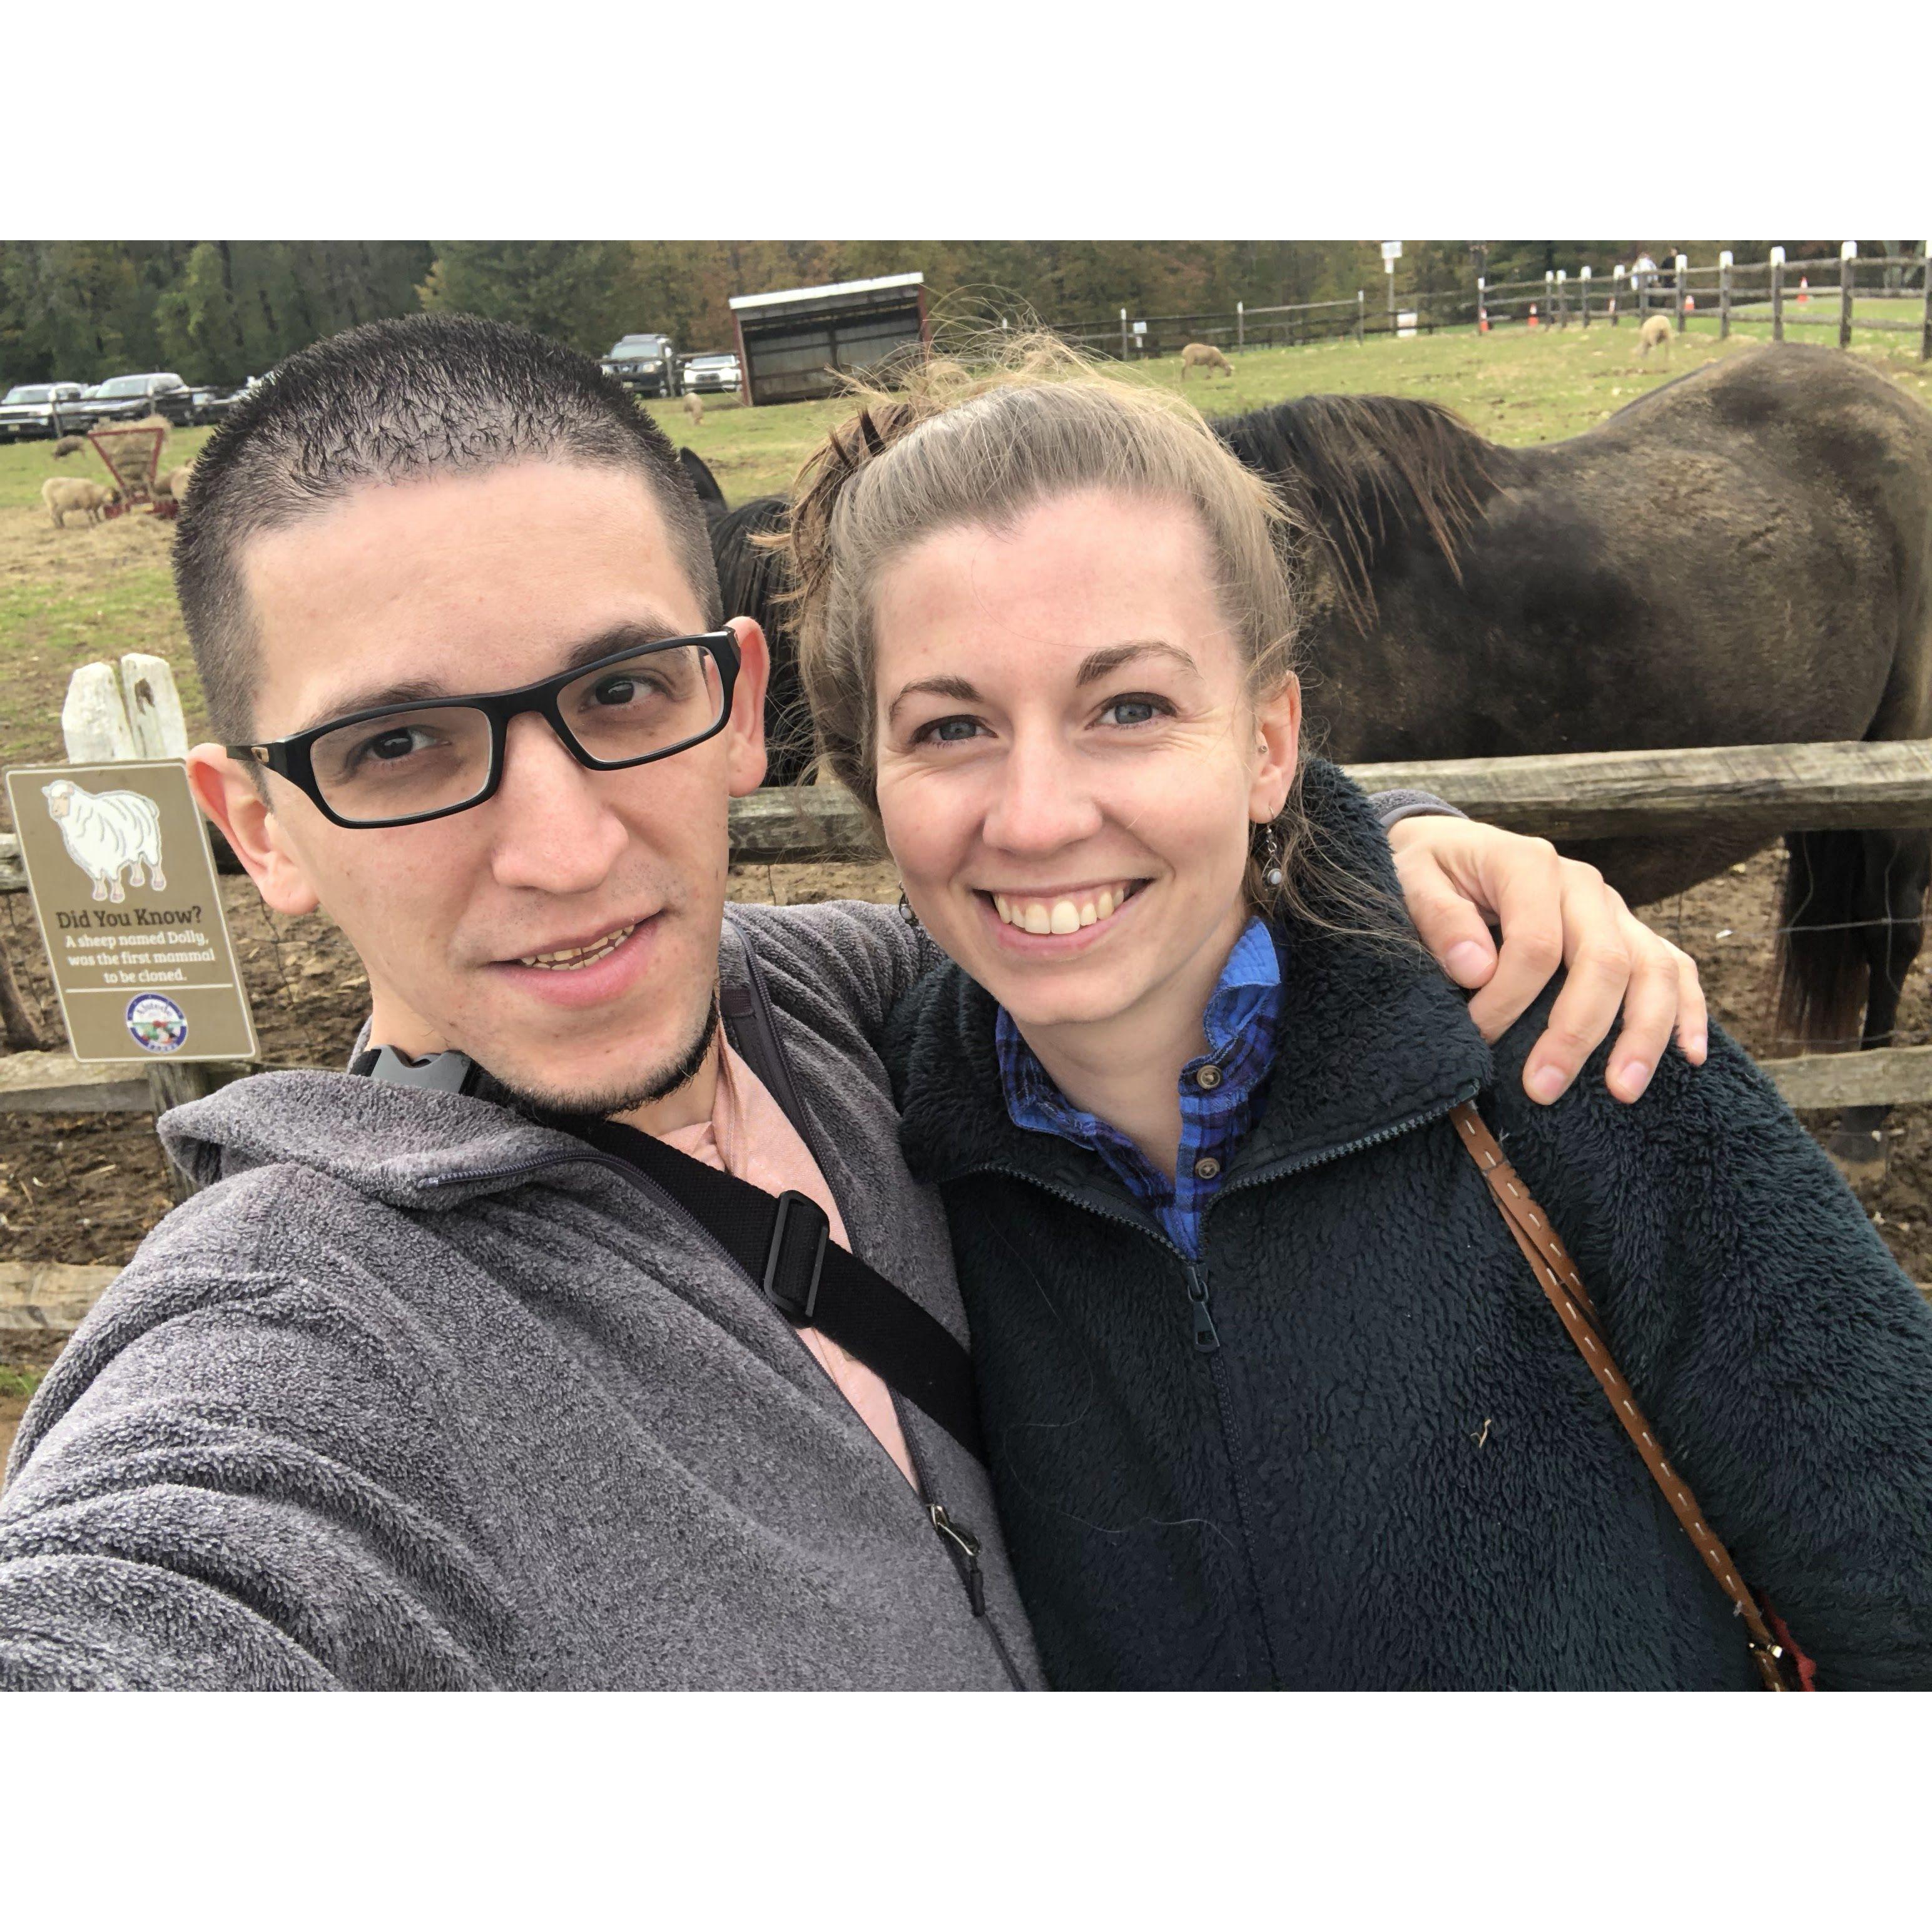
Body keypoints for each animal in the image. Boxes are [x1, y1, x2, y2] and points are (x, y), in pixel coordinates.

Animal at [43, 773, 166, 900]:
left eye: (65, 797)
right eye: (51, 798)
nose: (54, 811)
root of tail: (143, 801)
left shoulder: (110, 860)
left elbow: (114, 878)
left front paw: (117, 896)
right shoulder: (91, 863)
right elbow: (97, 879)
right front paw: (100, 895)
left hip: (150, 844)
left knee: (155, 863)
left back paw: (159, 882)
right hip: (132, 846)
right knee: (135, 861)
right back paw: (137, 880)